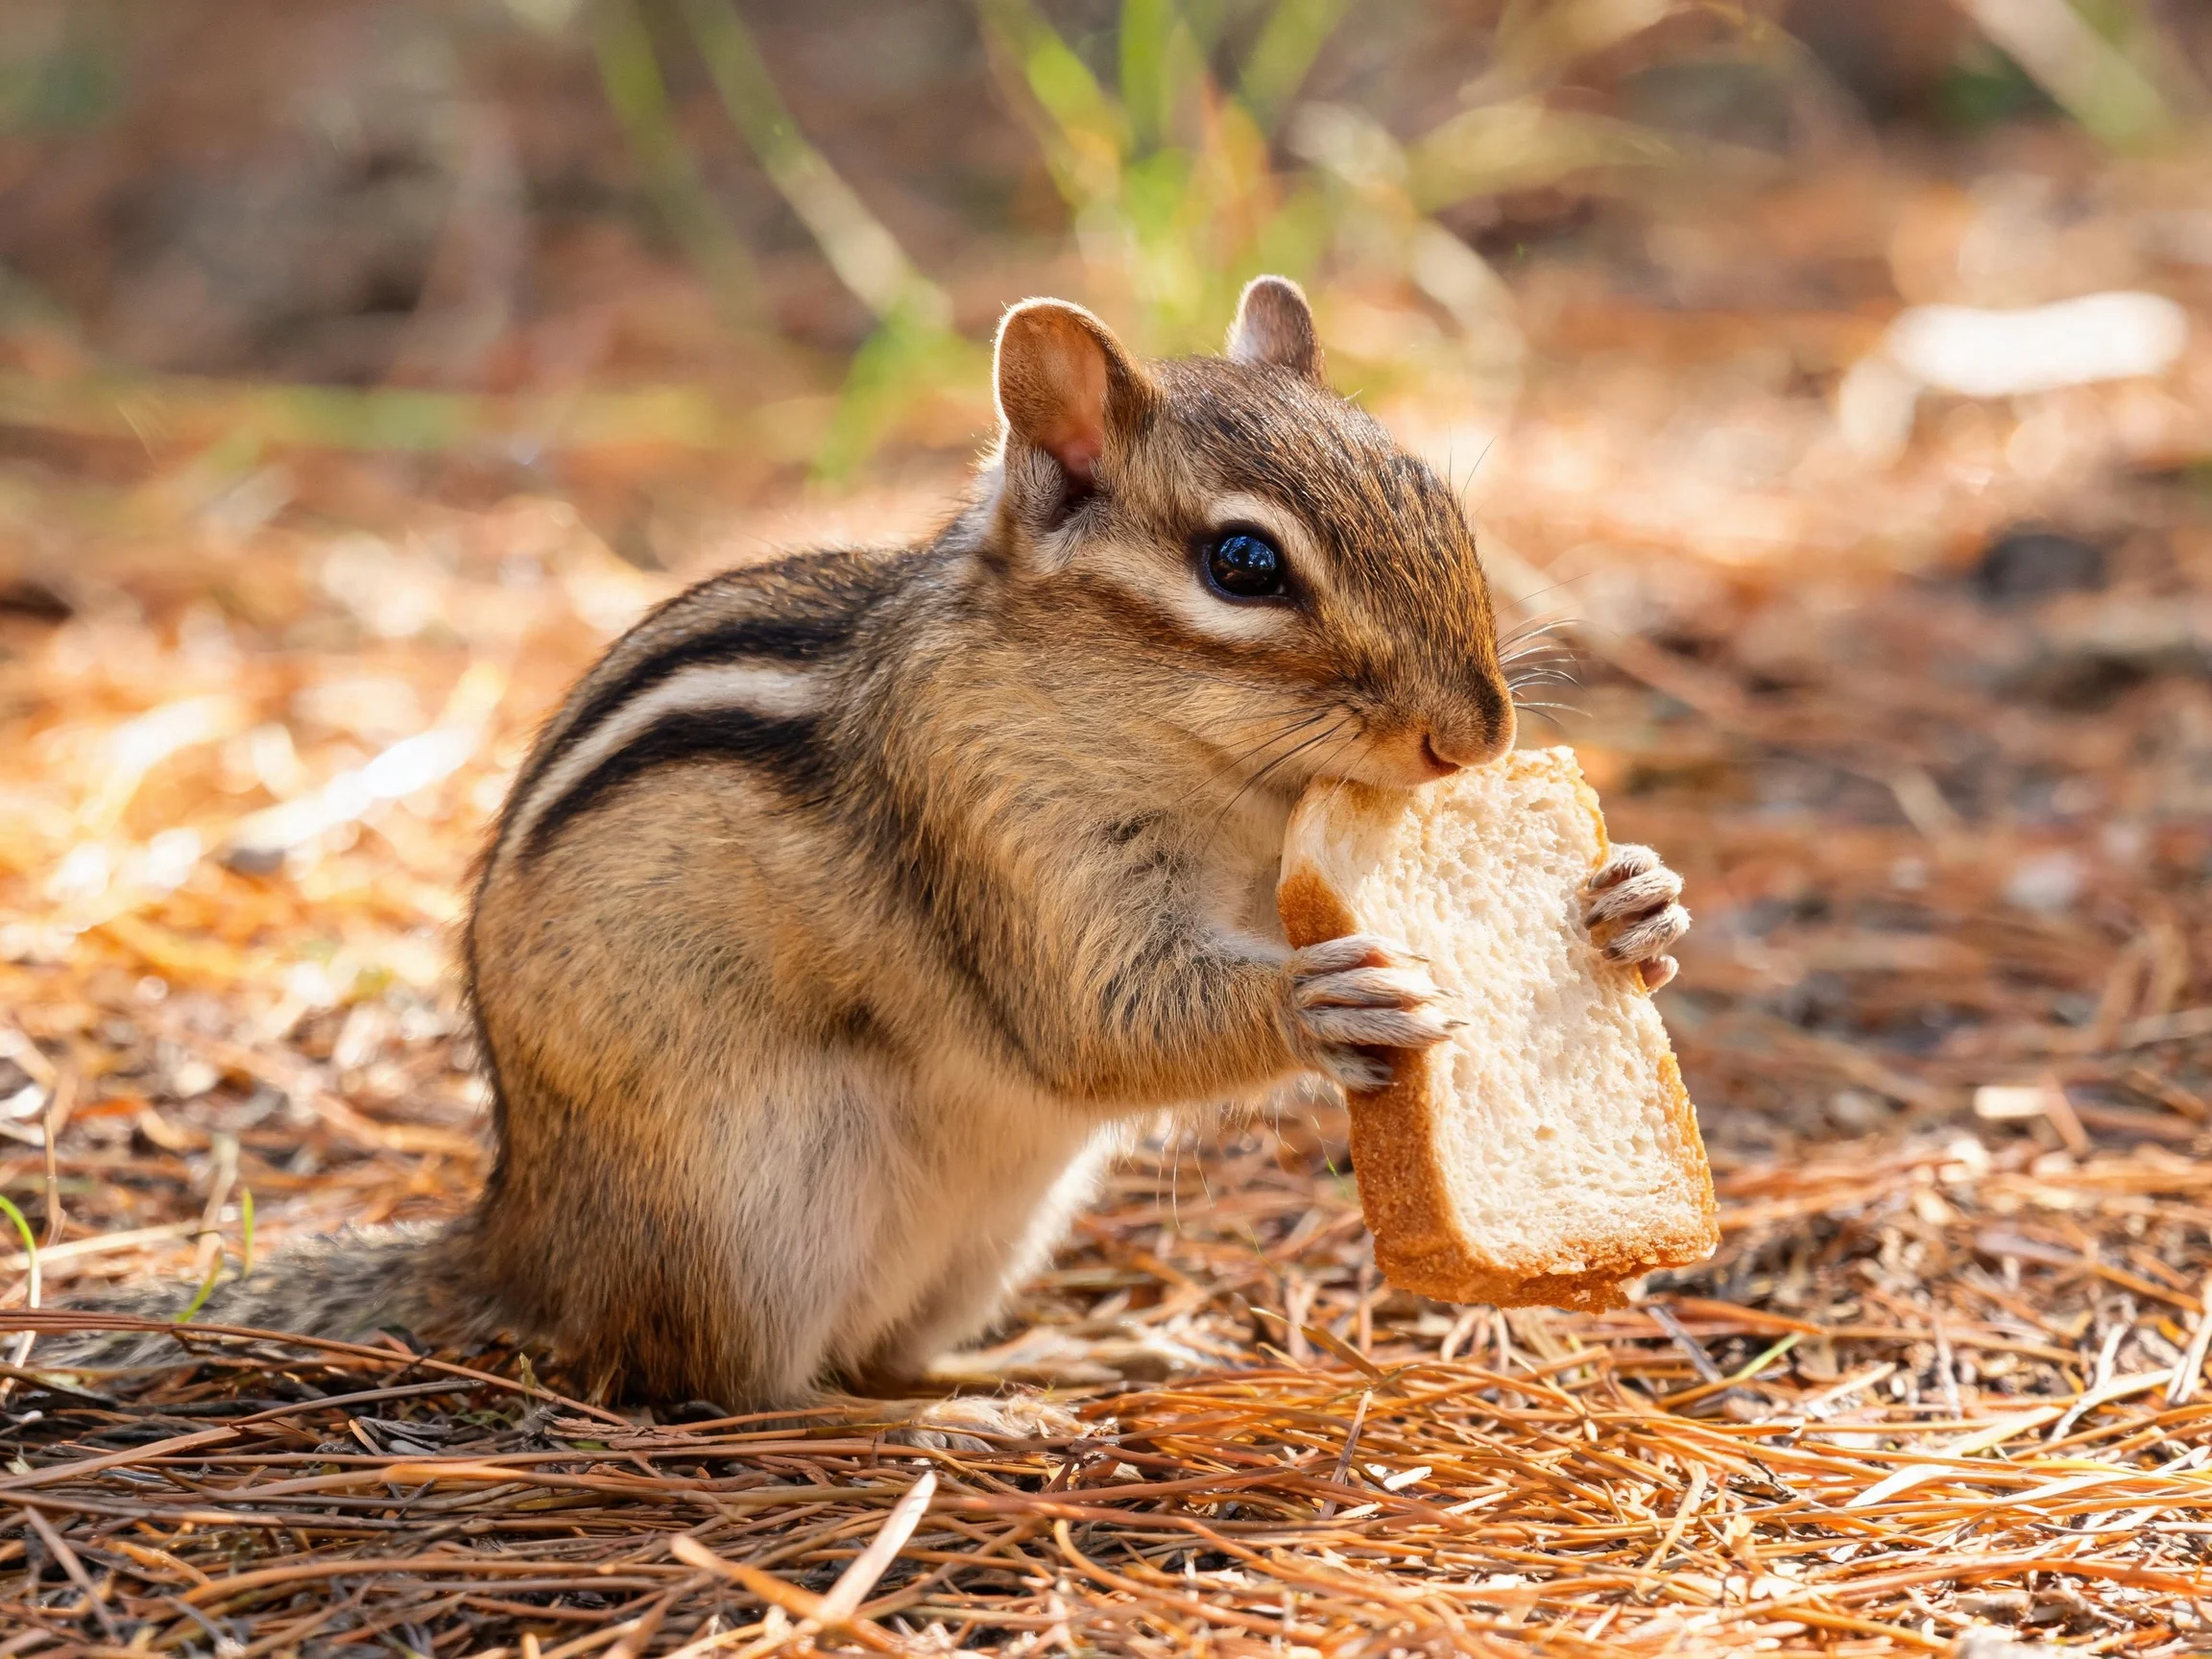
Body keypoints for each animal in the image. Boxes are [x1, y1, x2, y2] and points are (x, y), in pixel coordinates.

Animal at [51, 279, 1689, 1431]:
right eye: (1243, 566)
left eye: (1439, 499)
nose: (1476, 736)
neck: (1193, 768)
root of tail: (524, 1240)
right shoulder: (989, 831)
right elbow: (1096, 1023)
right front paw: (1330, 999)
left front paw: (1633, 907)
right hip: (752, 1211)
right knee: (741, 1395)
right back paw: (963, 1430)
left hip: (996, 1224)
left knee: (882, 1354)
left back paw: (1054, 1360)